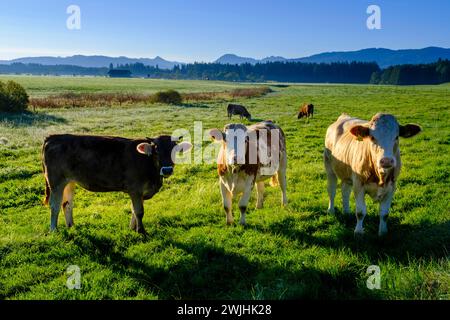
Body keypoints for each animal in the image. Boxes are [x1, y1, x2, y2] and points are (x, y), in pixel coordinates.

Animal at [44, 134, 193, 234]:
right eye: (156, 150)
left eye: (176, 150)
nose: (167, 169)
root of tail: (53, 137)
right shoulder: (135, 190)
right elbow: (139, 211)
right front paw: (141, 231)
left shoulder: (140, 192)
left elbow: (134, 210)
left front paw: (132, 228)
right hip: (56, 181)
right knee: (54, 205)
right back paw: (54, 230)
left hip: (69, 181)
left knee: (67, 204)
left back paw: (71, 226)